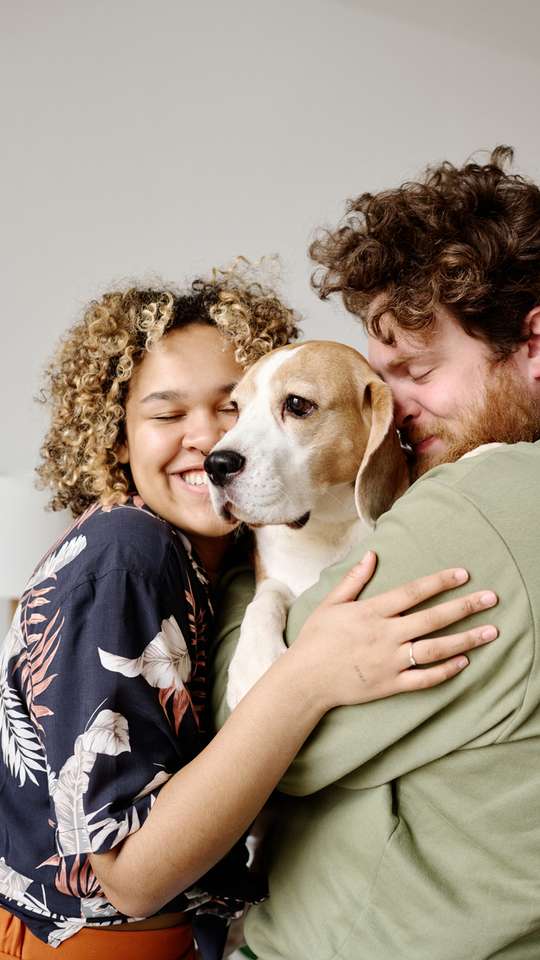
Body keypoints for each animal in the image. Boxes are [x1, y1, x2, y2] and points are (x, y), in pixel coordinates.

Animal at [205, 342, 408, 708]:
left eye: (297, 404)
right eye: (235, 409)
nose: (215, 464)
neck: (324, 525)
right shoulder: (272, 576)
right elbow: (262, 602)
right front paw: (253, 667)